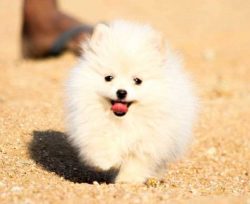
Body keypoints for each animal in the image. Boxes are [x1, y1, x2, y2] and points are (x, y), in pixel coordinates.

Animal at [65, 20, 197, 183]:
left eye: (137, 81)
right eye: (108, 78)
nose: (121, 92)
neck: (124, 120)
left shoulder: (148, 141)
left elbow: (136, 162)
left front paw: (126, 180)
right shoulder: (92, 125)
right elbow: (101, 142)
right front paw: (107, 162)